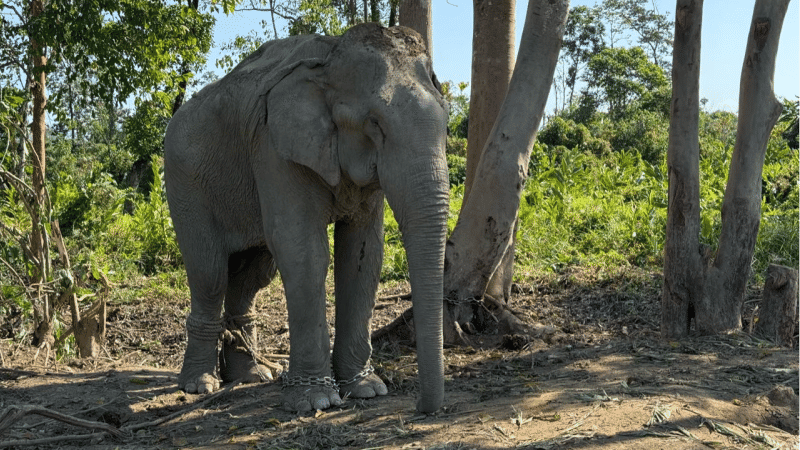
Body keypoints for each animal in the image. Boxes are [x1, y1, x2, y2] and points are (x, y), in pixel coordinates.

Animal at [162, 22, 450, 414]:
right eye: (374, 124)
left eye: (448, 121)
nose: (424, 408)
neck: (330, 58)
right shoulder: (273, 146)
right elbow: (303, 249)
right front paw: (317, 401)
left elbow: (364, 252)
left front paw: (367, 389)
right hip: (185, 183)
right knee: (210, 273)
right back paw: (199, 384)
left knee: (252, 275)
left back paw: (252, 376)